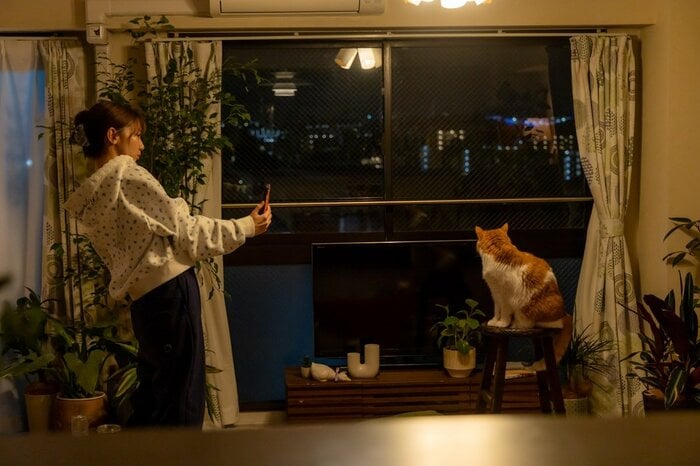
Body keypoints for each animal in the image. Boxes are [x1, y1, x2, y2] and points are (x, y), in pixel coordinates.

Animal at [475, 223, 573, 368]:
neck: (499, 250)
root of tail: (565, 314)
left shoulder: (505, 297)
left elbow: (504, 313)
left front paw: (502, 324)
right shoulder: (495, 294)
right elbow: (497, 310)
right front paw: (494, 321)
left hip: (526, 309)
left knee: (540, 325)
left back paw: (516, 325)